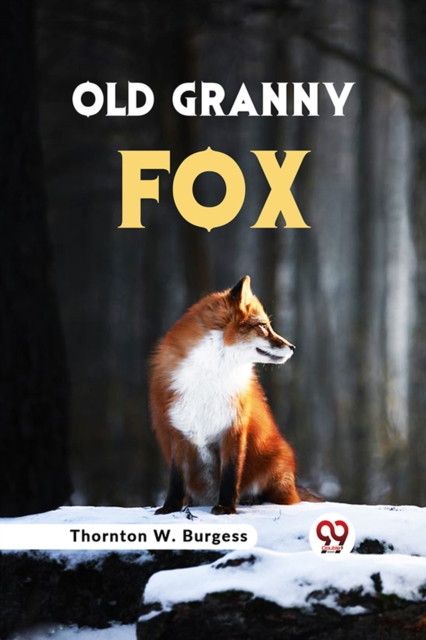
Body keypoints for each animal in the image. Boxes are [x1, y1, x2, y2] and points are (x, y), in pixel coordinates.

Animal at [150, 275, 303, 515]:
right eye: (263, 326)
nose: (293, 347)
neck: (209, 378)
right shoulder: (179, 431)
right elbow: (176, 478)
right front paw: (170, 507)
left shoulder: (234, 427)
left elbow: (231, 474)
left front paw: (226, 507)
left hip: (277, 466)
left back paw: (251, 499)